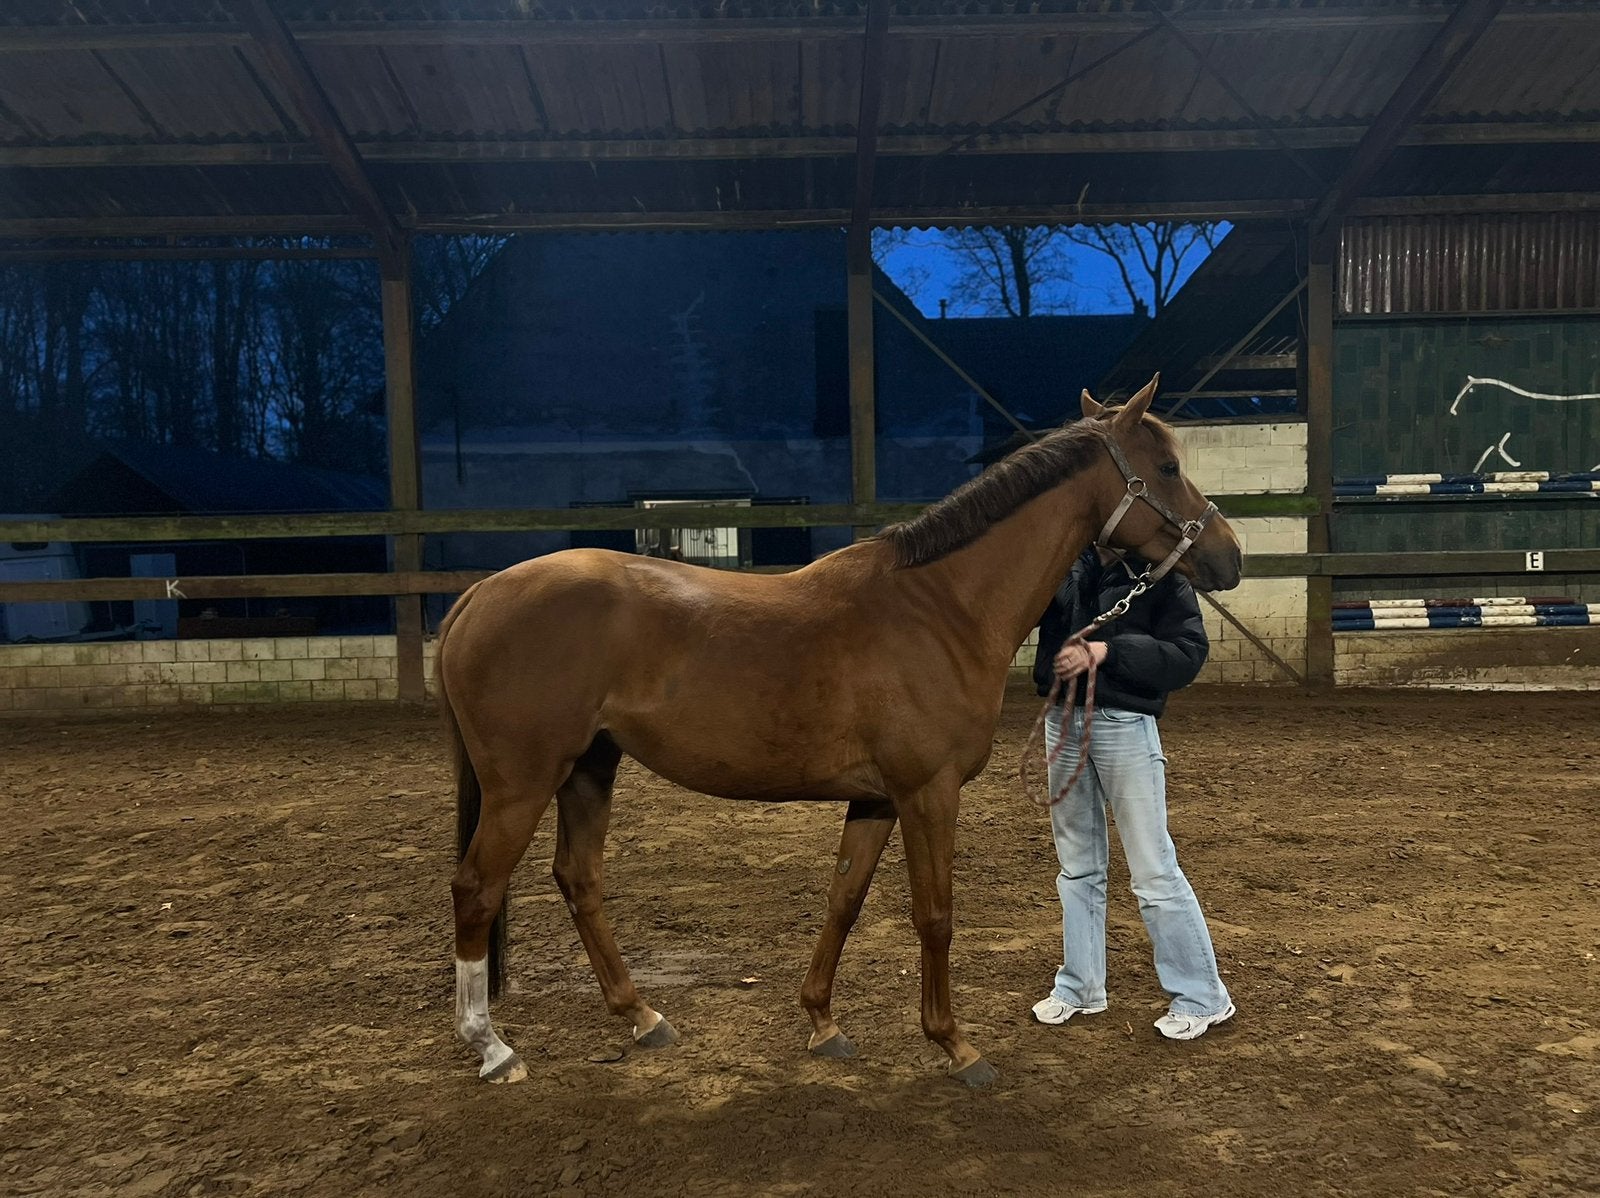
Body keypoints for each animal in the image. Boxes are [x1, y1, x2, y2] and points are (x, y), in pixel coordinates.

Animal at [438, 376, 1243, 1088]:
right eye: (1167, 467)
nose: (1228, 556)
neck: (941, 605)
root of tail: (480, 594)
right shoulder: (927, 793)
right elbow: (935, 915)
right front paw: (955, 1045)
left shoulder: (877, 799)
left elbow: (844, 900)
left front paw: (822, 1022)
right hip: (523, 783)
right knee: (477, 888)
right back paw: (492, 1049)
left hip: (589, 769)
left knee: (579, 879)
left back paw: (641, 1017)